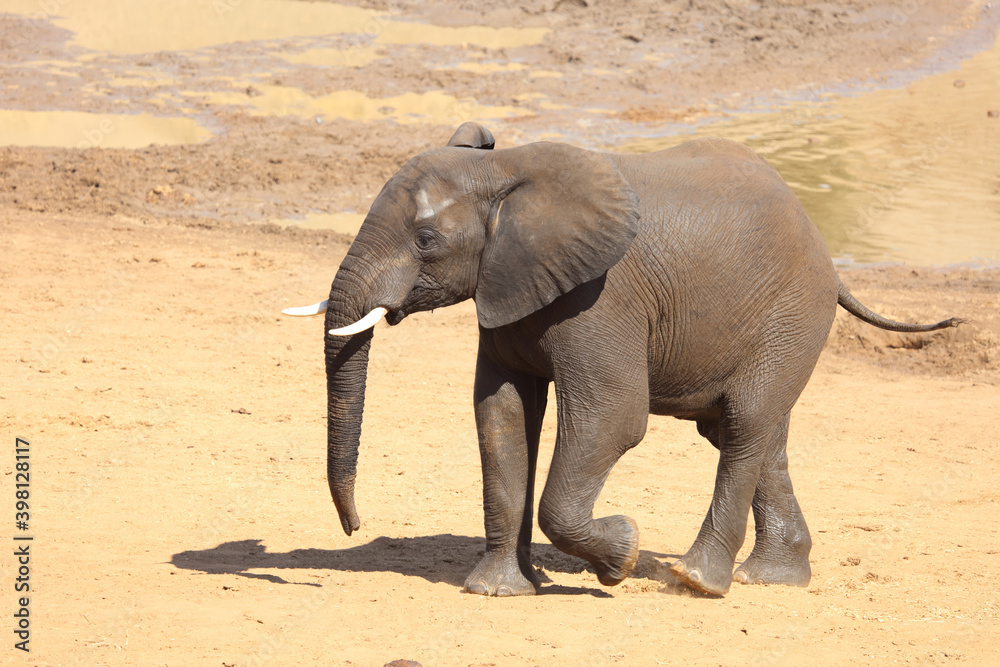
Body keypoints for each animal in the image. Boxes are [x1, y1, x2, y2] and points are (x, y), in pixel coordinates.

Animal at [283, 122, 961, 597]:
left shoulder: (601, 299)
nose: (354, 526)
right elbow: (501, 417)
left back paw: (696, 582)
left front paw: (623, 555)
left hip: (792, 314)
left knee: (746, 426)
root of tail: (828, 254)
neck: (505, 170)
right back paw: (771, 579)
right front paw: (496, 591)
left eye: (426, 240)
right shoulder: (507, 287)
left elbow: (613, 419)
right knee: (755, 432)